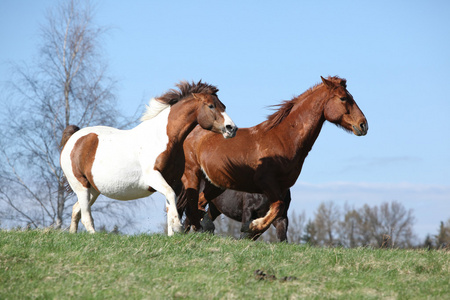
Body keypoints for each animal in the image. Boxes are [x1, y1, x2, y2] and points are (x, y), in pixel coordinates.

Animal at [59, 81, 239, 236]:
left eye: (223, 106)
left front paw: (172, 233)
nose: (232, 128)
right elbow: (171, 196)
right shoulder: (153, 177)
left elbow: (170, 203)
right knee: (85, 216)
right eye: (211, 105)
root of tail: (74, 138)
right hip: (81, 185)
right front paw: (178, 227)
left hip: (94, 189)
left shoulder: (172, 181)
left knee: (76, 210)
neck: (163, 138)